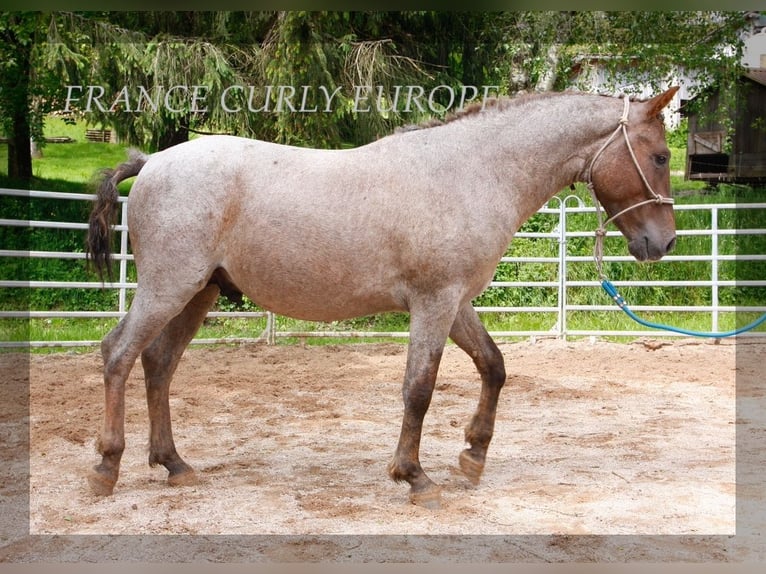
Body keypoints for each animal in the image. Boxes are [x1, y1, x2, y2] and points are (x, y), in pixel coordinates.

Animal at [87, 85, 680, 508]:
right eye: (659, 156)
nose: (665, 242)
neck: (472, 171)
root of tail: (154, 162)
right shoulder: (434, 303)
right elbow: (419, 388)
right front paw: (415, 476)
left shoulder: (455, 302)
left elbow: (493, 366)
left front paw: (473, 455)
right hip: (169, 288)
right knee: (118, 354)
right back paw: (106, 467)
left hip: (197, 295)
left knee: (158, 364)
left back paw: (174, 464)